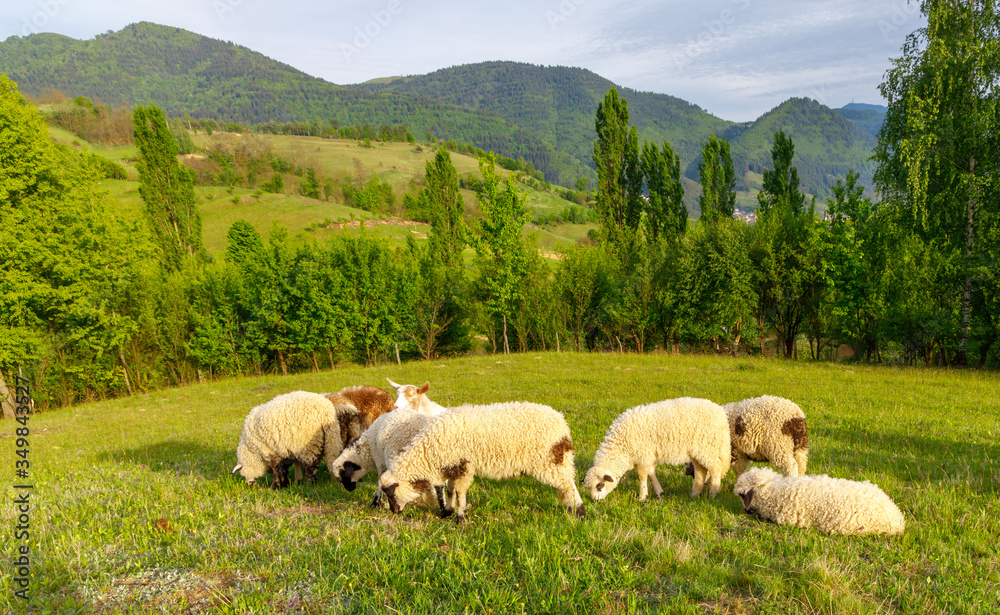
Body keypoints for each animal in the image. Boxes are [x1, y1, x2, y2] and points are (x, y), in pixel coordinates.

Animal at [378, 401, 586, 522]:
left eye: (390, 493)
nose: (394, 512)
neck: (430, 452)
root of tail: (562, 424)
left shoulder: (464, 466)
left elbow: (460, 492)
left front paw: (460, 517)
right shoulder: (454, 467)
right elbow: (451, 491)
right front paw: (447, 512)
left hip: (548, 461)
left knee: (568, 484)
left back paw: (580, 512)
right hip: (555, 461)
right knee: (566, 484)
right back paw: (571, 509)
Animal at [584, 397, 731, 501]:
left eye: (600, 485)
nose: (595, 500)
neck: (622, 448)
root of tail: (720, 414)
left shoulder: (642, 456)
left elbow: (642, 476)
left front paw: (642, 497)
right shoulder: (648, 456)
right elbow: (651, 473)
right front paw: (659, 493)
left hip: (708, 448)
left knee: (716, 468)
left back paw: (713, 494)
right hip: (698, 451)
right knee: (701, 471)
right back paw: (694, 494)